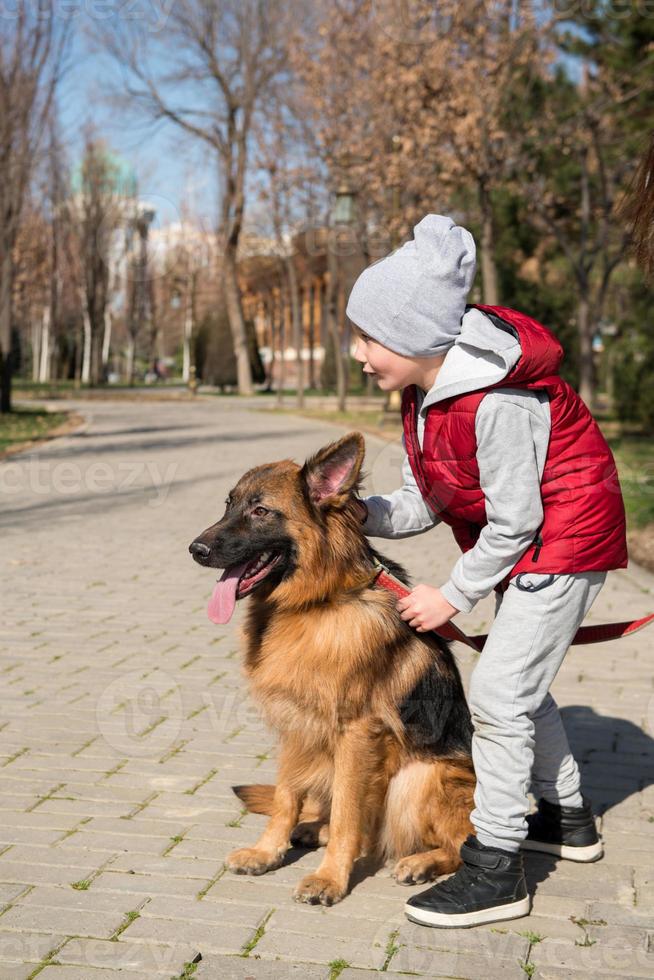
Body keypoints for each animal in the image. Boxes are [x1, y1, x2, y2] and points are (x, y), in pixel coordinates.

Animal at [190, 432, 476, 908]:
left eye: (261, 511)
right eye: (229, 504)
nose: (196, 549)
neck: (316, 603)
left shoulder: (355, 733)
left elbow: (345, 812)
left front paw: (329, 879)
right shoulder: (295, 725)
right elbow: (286, 797)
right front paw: (268, 851)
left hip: (418, 776)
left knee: (459, 843)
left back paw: (422, 862)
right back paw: (312, 829)